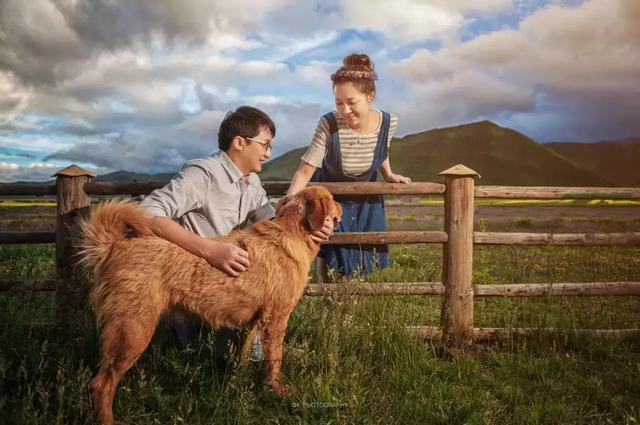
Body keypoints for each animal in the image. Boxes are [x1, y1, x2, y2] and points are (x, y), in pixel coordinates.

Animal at [80, 186, 342, 424]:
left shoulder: (254, 323)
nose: (341, 207)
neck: (292, 231)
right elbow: (275, 360)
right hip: (133, 332)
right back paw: (108, 420)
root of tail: (116, 245)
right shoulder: (275, 320)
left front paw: (239, 381)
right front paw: (277, 390)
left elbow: (244, 354)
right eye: (332, 198)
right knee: (101, 383)